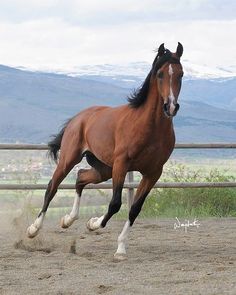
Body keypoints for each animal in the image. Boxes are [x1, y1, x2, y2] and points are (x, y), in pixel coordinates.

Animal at [26, 42, 183, 262]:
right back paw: (33, 229)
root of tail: (79, 117)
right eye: (160, 74)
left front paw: (120, 248)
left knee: (80, 178)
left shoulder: (153, 173)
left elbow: (135, 209)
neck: (149, 127)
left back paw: (67, 220)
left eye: (181, 74)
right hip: (69, 159)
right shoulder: (122, 165)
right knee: (52, 187)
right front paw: (94, 224)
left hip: (103, 169)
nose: (171, 107)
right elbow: (115, 203)